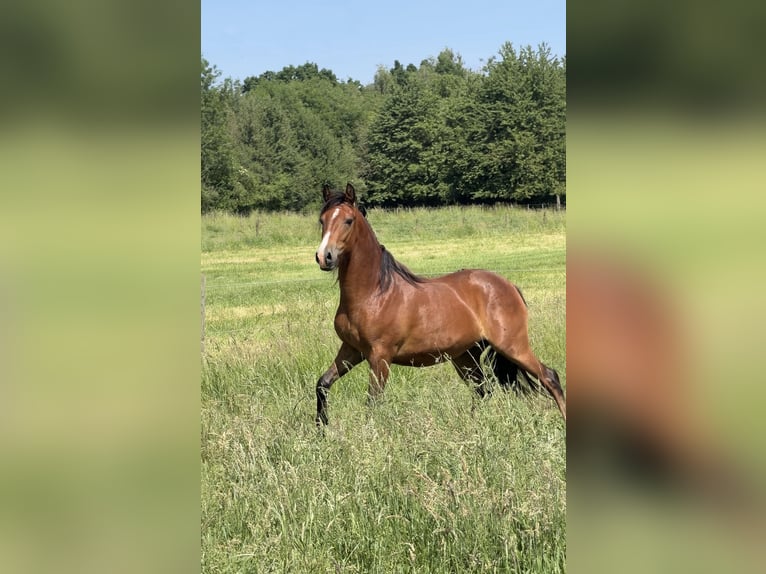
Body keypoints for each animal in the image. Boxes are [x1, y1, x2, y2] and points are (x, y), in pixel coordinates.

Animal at [313, 183, 566, 426]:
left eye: (348, 220)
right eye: (322, 220)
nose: (324, 257)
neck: (374, 293)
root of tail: (509, 285)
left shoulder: (380, 356)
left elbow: (372, 403)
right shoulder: (352, 349)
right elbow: (322, 384)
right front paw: (321, 429)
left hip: (513, 346)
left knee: (549, 376)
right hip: (466, 356)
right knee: (482, 390)